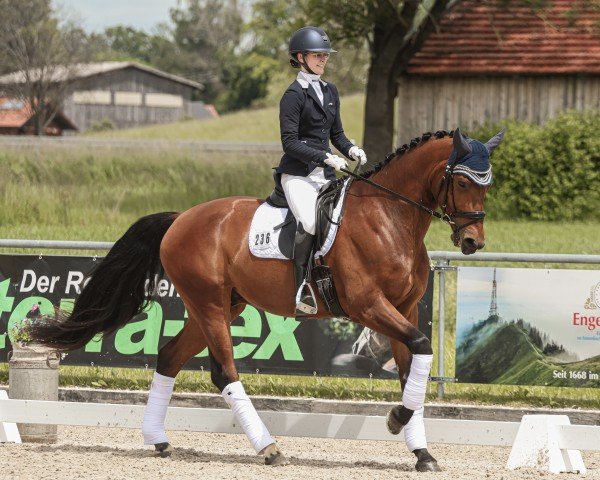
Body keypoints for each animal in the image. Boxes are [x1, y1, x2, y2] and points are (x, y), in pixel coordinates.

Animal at [31, 128, 502, 472]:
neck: (389, 217)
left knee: (168, 357)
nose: (473, 242)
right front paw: (395, 421)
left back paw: (159, 440)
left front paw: (421, 452)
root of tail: (180, 219)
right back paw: (269, 448)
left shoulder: (403, 309)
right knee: (223, 372)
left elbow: (413, 370)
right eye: (462, 180)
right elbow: (420, 350)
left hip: (220, 306)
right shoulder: (368, 305)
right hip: (210, 305)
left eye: (489, 184)